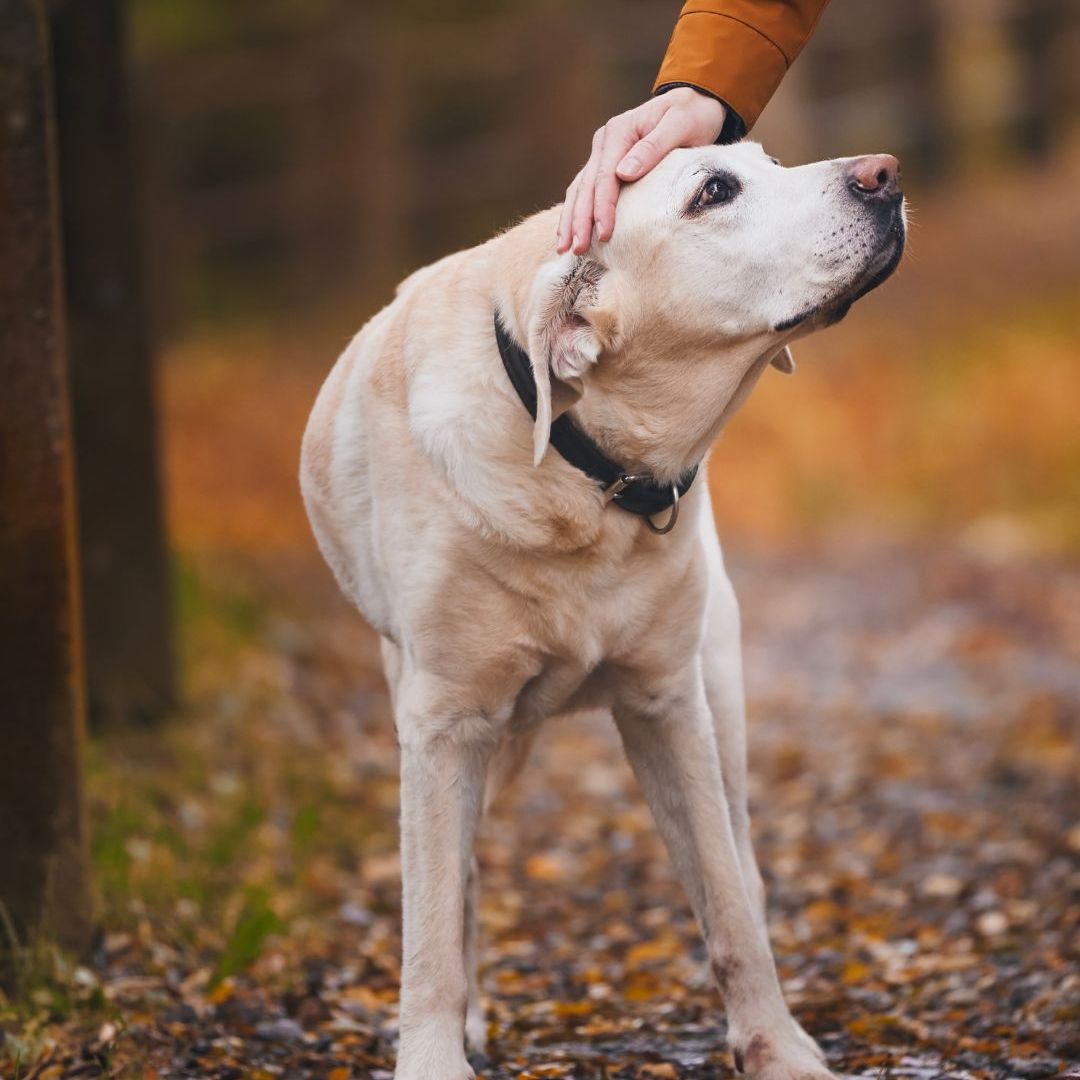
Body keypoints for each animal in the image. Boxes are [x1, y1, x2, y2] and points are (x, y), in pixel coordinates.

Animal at [300, 143, 907, 1080]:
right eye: (713, 192)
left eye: (764, 158)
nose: (884, 172)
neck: (586, 476)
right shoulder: (444, 727)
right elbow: (429, 933)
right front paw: (436, 1053)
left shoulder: (669, 704)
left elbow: (728, 907)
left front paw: (776, 1048)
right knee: (459, 879)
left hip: (718, 690)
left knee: (742, 861)